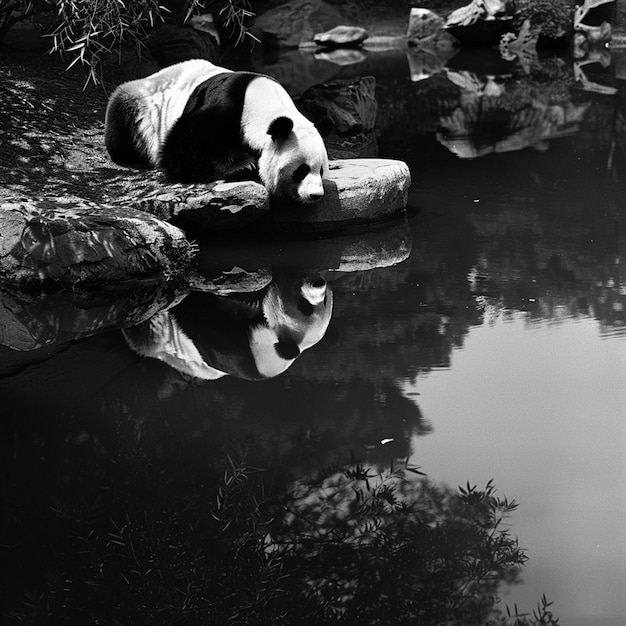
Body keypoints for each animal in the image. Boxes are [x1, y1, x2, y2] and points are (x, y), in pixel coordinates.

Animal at [103, 58, 332, 202]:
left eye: (321, 170)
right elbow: (184, 148)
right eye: (301, 170)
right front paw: (243, 166)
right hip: (141, 105)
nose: (315, 195)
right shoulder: (225, 106)